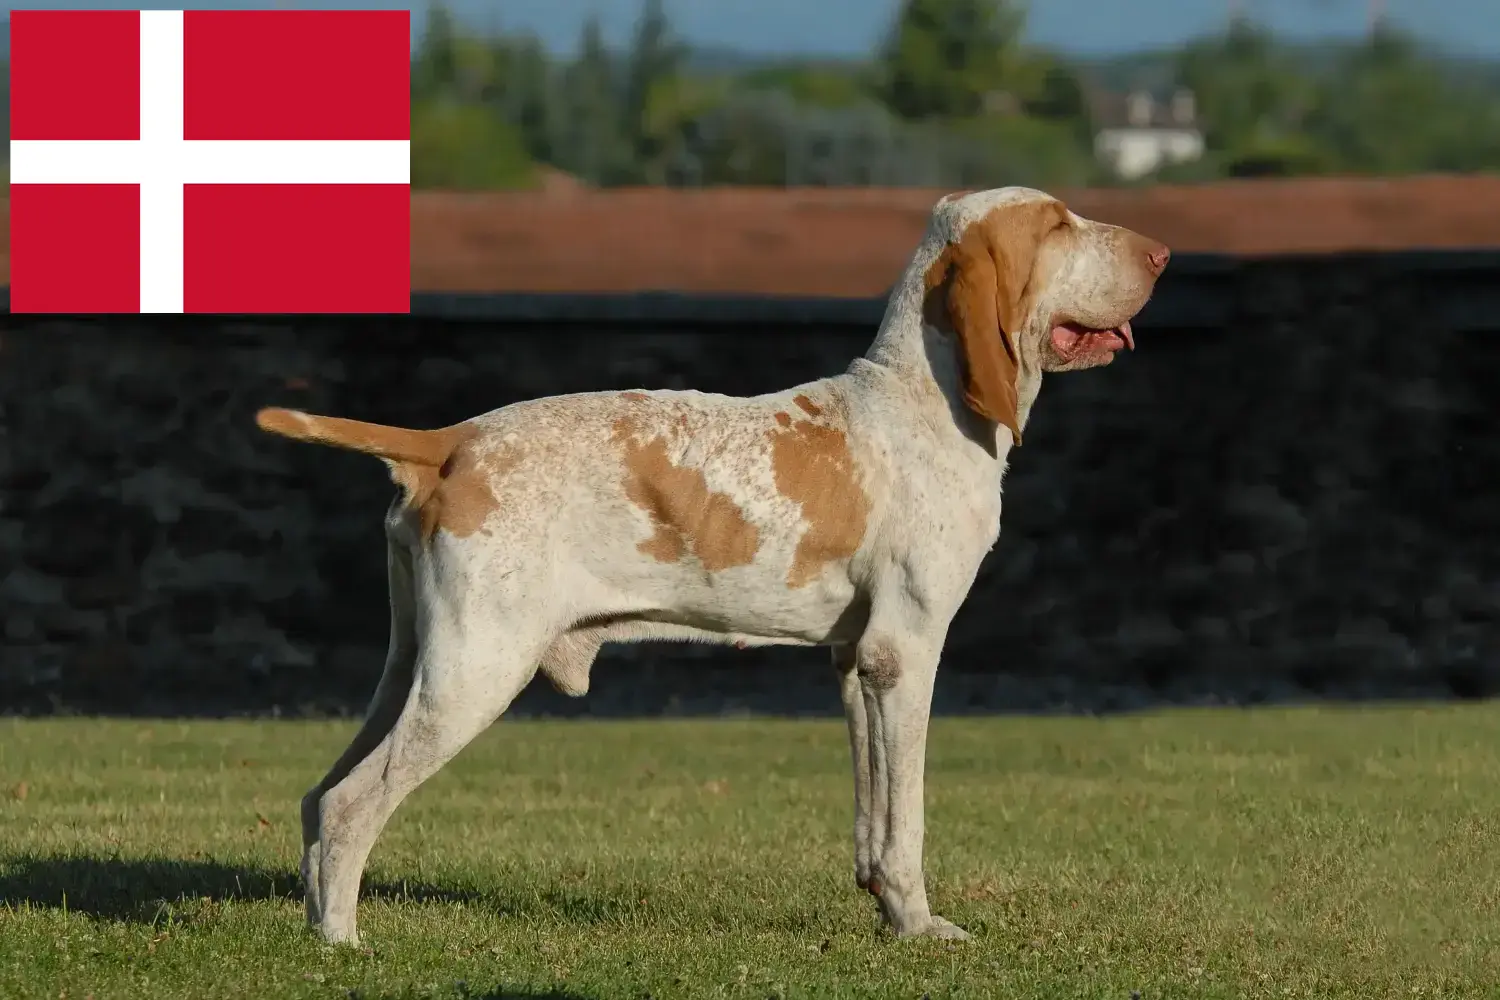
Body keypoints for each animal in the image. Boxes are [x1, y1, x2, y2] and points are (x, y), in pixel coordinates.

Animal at [261, 185, 1170, 947]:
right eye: (1057, 225)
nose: (1162, 253)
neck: (922, 399)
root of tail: (450, 440)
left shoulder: (856, 664)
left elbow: (874, 817)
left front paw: (887, 912)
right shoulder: (906, 653)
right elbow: (906, 819)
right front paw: (918, 927)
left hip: (416, 664)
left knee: (317, 797)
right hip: (476, 671)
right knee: (349, 804)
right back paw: (341, 942)